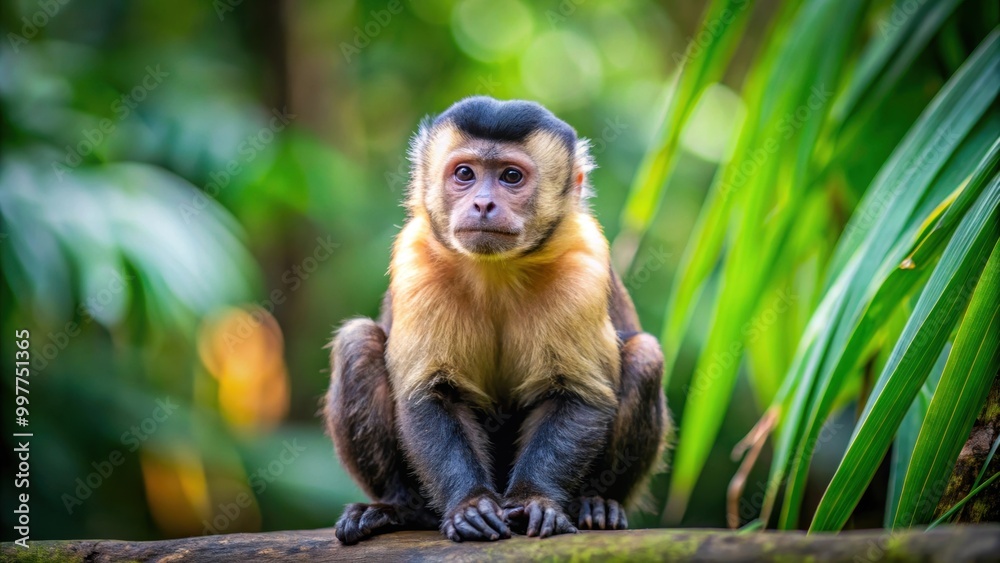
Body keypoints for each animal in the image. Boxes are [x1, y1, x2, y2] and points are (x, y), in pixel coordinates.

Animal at [324, 96, 671, 544]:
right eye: (464, 174)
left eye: (510, 176)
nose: (483, 204)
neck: (497, 272)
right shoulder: (416, 257)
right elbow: (429, 393)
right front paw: (471, 505)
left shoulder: (582, 262)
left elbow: (579, 395)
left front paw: (536, 500)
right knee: (358, 342)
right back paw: (399, 507)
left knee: (645, 356)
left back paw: (596, 503)